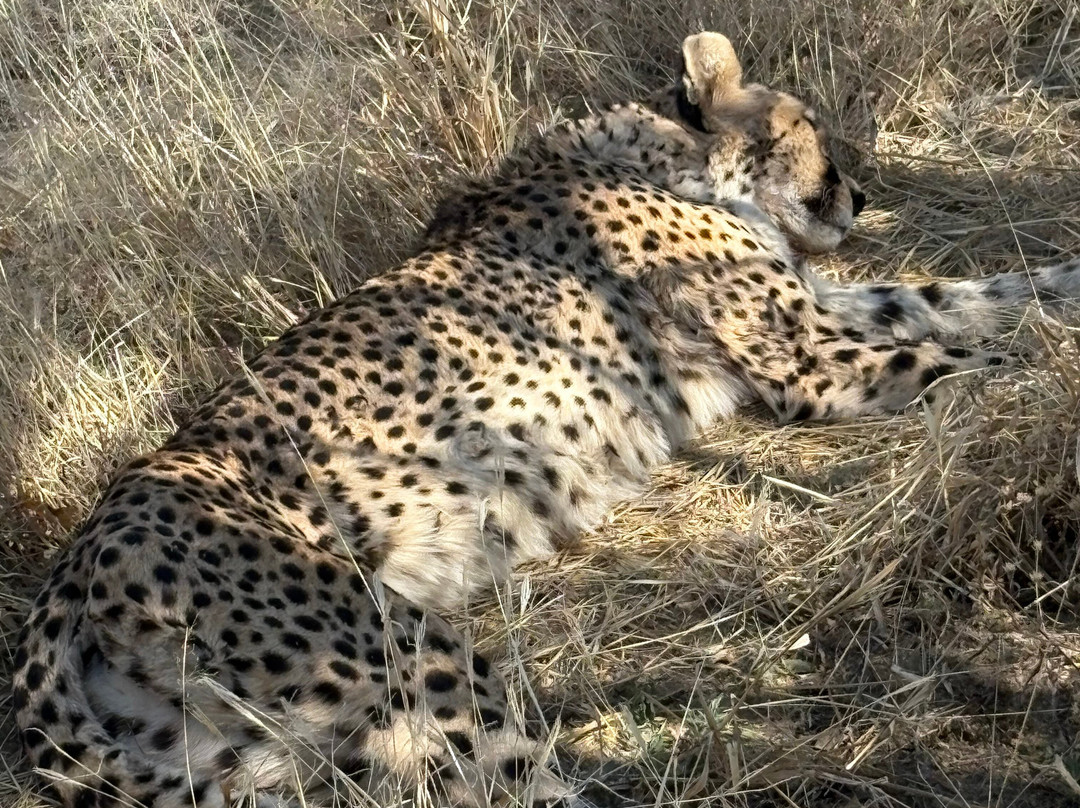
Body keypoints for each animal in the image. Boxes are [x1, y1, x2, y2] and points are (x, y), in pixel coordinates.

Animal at [12, 31, 1080, 808]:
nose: (860, 191)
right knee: (514, 781)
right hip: (408, 658)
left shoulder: (823, 315)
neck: (672, 159)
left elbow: (965, 295)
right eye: (806, 122)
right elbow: (963, 354)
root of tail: (73, 567)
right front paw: (1038, 387)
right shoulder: (806, 361)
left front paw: (1054, 293)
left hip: (260, 755)